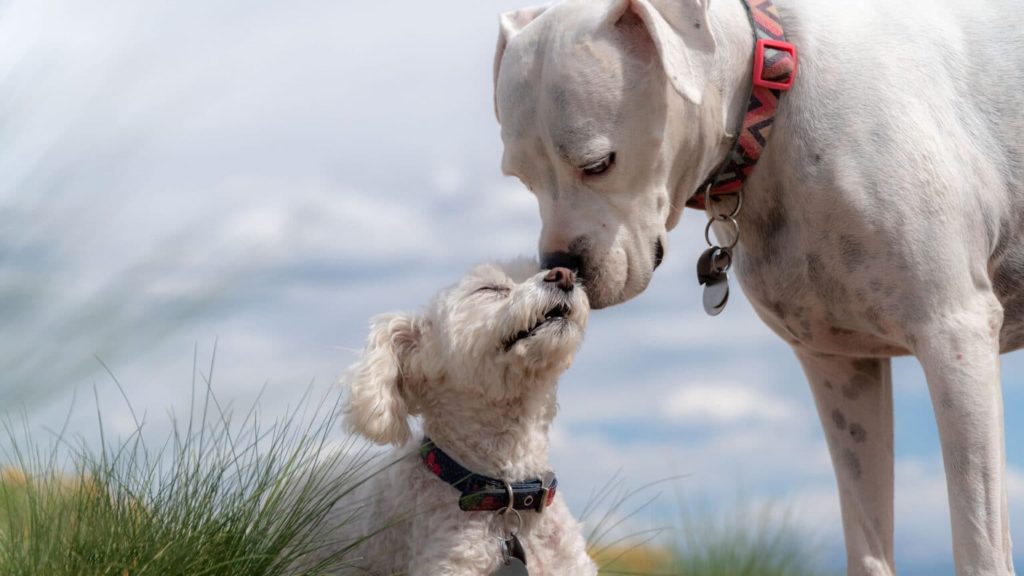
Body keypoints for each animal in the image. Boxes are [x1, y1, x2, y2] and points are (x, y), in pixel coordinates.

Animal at [491, 1, 1019, 573]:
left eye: (598, 163)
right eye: (520, 178)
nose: (560, 266)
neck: (772, 98)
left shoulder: (955, 336)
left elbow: (980, 543)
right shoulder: (841, 368)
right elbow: (867, 540)